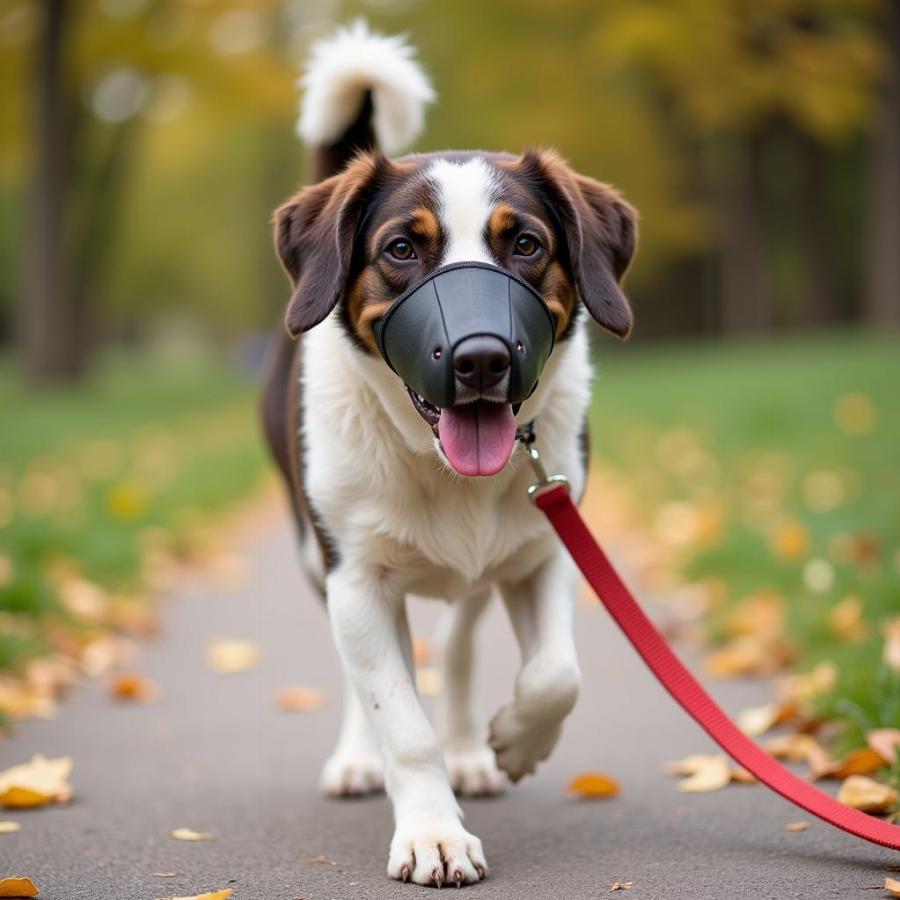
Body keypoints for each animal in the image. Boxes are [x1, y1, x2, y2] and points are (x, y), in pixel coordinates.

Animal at [262, 19, 632, 884]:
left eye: (525, 243)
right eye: (402, 249)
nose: (482, 358)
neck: (435, 461)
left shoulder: (545, 550)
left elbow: (556, 675)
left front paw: (515, 742)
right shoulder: (354, 581)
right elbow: (400, 720)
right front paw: (431, 831)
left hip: (479, 572)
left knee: (459, 645)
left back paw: (471, 750)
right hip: (315, 560)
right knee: (371, 673)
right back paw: (360, 761)